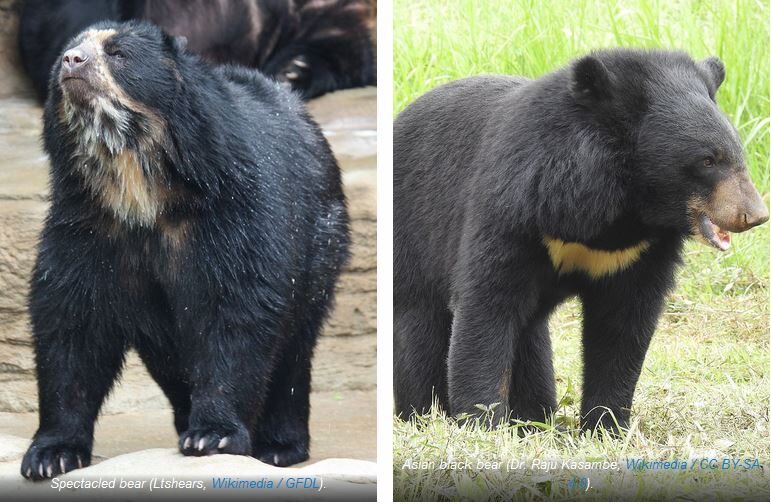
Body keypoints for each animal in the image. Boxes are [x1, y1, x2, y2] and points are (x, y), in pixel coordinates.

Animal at [21, 20, 350, 481]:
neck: (136, 182)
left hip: (321, 243)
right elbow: (71, 323)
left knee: (293, 346)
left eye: (118, 54)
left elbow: (236, 309)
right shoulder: (86, 225)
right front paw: (51, 455)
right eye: (68, 52)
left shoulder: (230, 212)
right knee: (173, 364)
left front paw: (214, 436)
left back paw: (279, 445)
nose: (71, 61)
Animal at [393, 49, 768, 432]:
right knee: (420, 327)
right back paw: (424, 413)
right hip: (412, 233)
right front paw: (481, 423)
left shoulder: (640, 251)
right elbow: (488, 304)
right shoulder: (516, 206)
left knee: (531, 335)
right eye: (707, 160)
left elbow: (621, 326)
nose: (754, 214)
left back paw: (533, 418)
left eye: (737, 154)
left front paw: (606, 426)